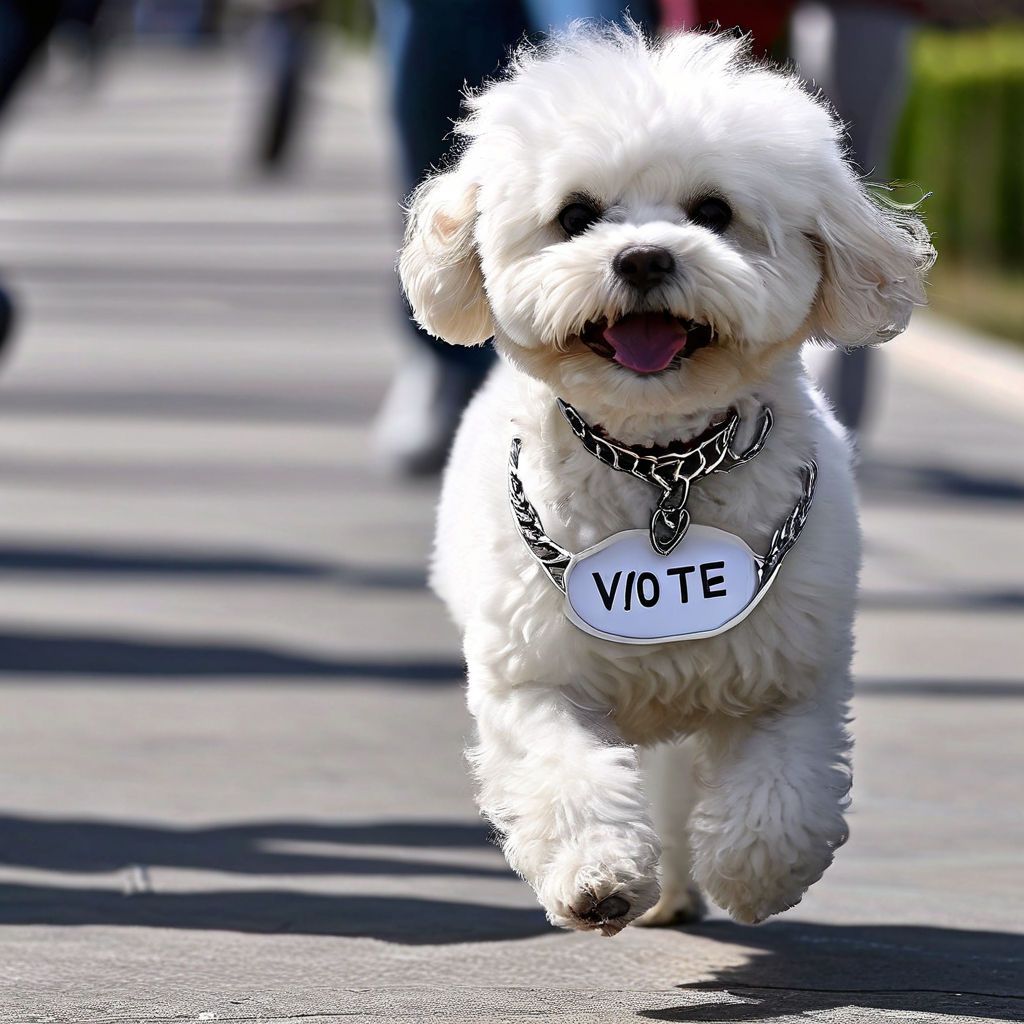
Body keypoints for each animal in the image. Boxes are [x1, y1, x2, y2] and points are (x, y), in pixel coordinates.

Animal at [395, 24, 933, 937]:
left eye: (713, 212)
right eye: (576, 215)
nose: (644, 258)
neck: (663, 464)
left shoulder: (790, 668)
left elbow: (783, 786)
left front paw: (754, 871)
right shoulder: (534, 674)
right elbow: (564, 774)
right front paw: (597, 876)